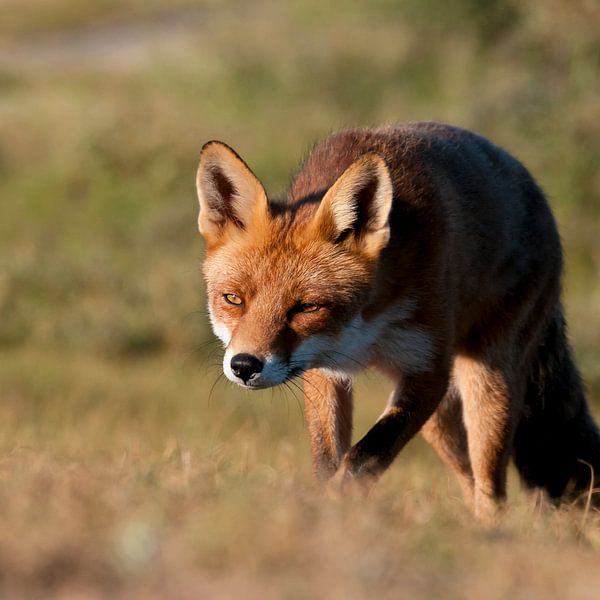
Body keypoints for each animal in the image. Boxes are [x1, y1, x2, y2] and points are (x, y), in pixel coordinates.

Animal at [197, 120, 600, 516]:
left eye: (307, 307)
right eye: (233, 299)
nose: (244, 366)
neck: (364, 330)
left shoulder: (428, 372)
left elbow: (366, 456)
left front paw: (339, 503)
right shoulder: (323, 371)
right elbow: (329, 460)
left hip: (485, 387)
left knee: (492, 490)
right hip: (441, 421)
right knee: (470, 481)